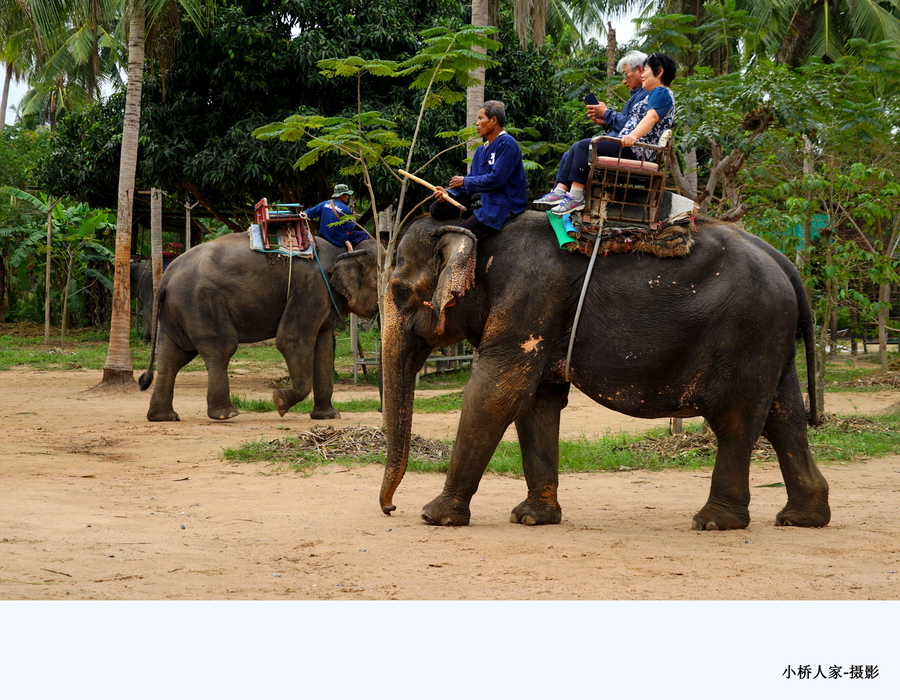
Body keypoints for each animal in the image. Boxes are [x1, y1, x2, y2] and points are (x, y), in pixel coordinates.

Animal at [140, 231, 380, 422]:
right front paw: (279, 402)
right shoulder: (310, 288)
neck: (345, 250)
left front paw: (328, 416)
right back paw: (226, 415)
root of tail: (166, 276)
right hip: (199, 302)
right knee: (220, 349)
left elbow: (323, 350)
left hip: (176, 309)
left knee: (173, 357)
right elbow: (291, 341)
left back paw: (164, 417)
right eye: (381, 281)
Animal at [378, 213, 828, 532]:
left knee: (736, 420)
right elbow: (538, 401)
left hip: (749, 330)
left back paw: (714, 522)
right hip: (772, 336)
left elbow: (497, 392)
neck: (470, 227)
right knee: (784, 415)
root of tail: (784, 263)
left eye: (399, 292)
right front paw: (531, 518)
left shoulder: (530, 296)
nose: (390, 508)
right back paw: (802, 518)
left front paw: (435, 516)